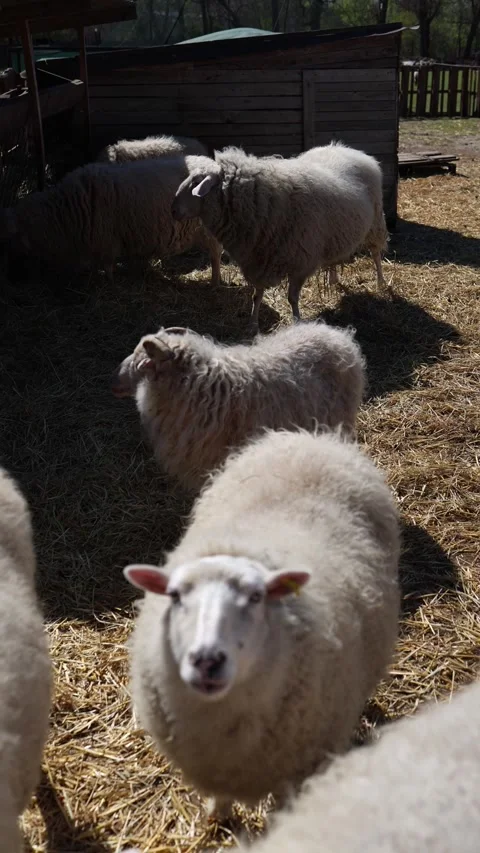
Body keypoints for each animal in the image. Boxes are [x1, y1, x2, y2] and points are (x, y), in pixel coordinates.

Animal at [1, 158, 222, 285]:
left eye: (11, 240)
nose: (11, 278)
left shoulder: (106, 240)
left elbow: (107, 266)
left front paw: (108, 282)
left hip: (209, 231)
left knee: (215, 256)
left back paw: (215, 281)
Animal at [123, 428, 401, 819]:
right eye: (175, 595)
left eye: (256, 597)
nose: (207, 660)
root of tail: (309, 437)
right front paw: (217, 814)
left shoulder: (296, 767)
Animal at [172, 141, 388, 331]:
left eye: (196, 182)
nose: (173, 210)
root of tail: (346, 148)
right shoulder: (258, 259)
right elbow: (256, 295)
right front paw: (253, 324)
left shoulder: (300, 262)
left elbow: (292, 298)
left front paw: (297, 322)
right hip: (334, 233)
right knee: (334, 258)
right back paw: (333, 279)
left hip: (376, 223)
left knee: (376, 254)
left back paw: (380, 282)